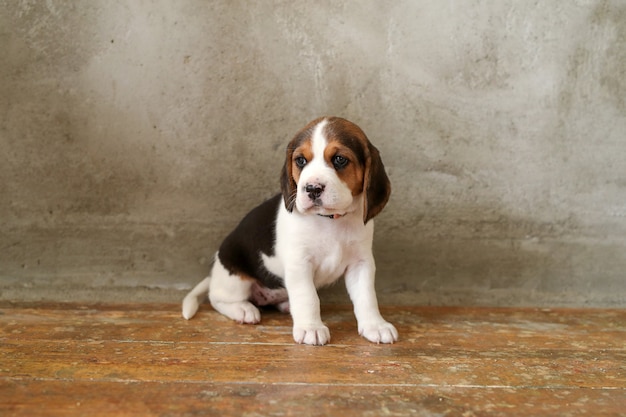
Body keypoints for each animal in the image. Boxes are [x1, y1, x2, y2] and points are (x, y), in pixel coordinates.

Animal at [182, 117, 394, 344]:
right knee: (217, 299)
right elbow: (308, 297)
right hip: (235, 279)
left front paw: (375, 325)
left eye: (339, 159)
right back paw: (243, 310)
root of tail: (215, 271)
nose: (312, 188)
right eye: (300, 161)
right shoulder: (299, 263)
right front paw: (311, 328)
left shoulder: (360, 263)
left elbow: (367, 297)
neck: (329, 220)